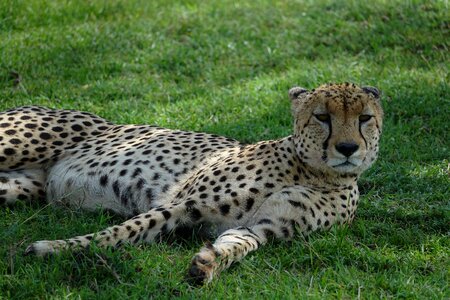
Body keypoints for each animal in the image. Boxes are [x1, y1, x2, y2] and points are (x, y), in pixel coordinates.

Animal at [1, 83, 384, 284]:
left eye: (364, 118)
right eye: (322, 117)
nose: (347, 148)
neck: (315, 172)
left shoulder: (263, 227)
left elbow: (239, 244)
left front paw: (208, 263)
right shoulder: (182, 204)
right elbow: (119, 232)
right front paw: (54, 249)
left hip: (18, 187)